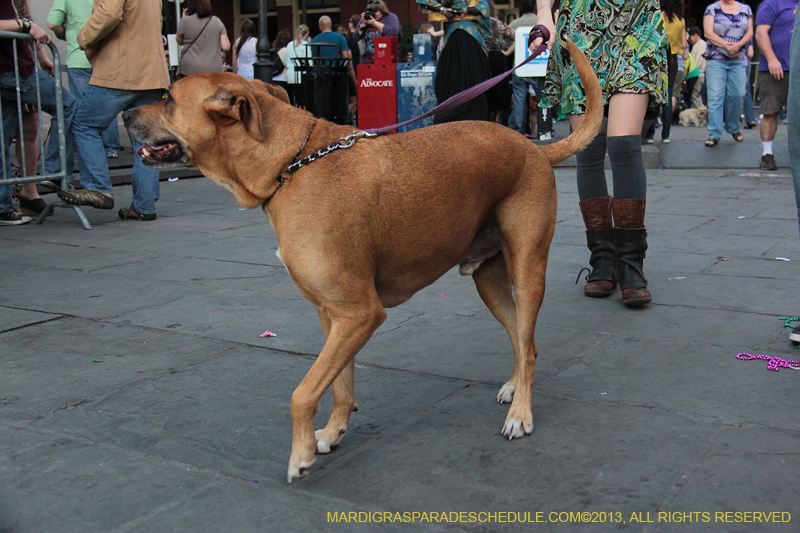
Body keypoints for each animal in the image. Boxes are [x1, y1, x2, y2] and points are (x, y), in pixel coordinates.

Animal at [123, 40, 600, 482]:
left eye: (167, 98)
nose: (124, 115)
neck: (290, 163)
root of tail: (534, 147)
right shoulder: (334, 316)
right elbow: (339, 385)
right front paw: (333, 432)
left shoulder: (359, 314)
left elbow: (303, 393)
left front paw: (300, 454)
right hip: (489, 281)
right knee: (522, 341)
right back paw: (514, 386)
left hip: (528, 269)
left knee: (530, 344)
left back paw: (521, 412)